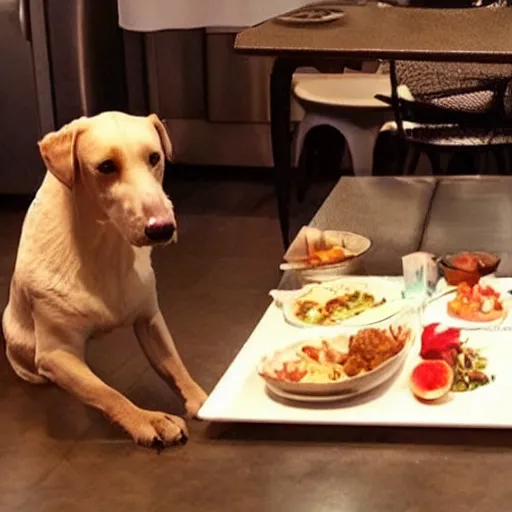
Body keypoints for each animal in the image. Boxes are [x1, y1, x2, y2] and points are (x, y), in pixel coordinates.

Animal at [2, 111, 206, 448]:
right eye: (106, 167)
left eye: (154, 158)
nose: (162, 228)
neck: (105, 244)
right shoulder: (56, 354)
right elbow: (107, 393)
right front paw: (148, 419)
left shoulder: (149, 319)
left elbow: (175, 365)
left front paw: (204, 400)